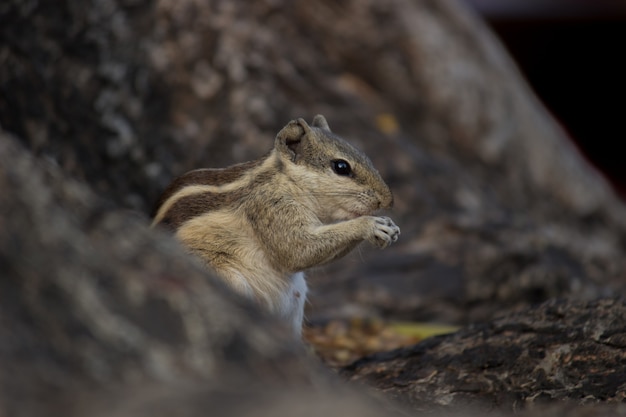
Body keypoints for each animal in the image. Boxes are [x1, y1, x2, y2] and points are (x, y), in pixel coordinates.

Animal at [152, 114, 400, 334]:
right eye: (341, 167)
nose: (388, 200)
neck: (286, 181)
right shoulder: (270, 207)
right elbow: (296, 250)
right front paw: (370, 225)